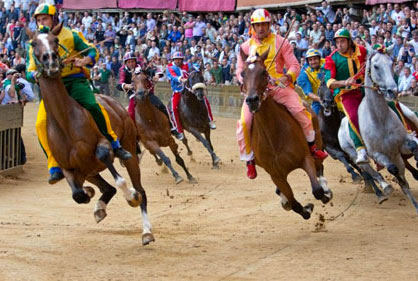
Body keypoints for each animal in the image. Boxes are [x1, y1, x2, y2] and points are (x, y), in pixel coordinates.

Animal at [358, 44, 418, 212]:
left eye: (392, 63)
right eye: (376, 66)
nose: (392, 90)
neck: (380, 121)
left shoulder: (402, 144)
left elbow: (413, 145)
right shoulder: (377, 154)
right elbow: (393, 170)